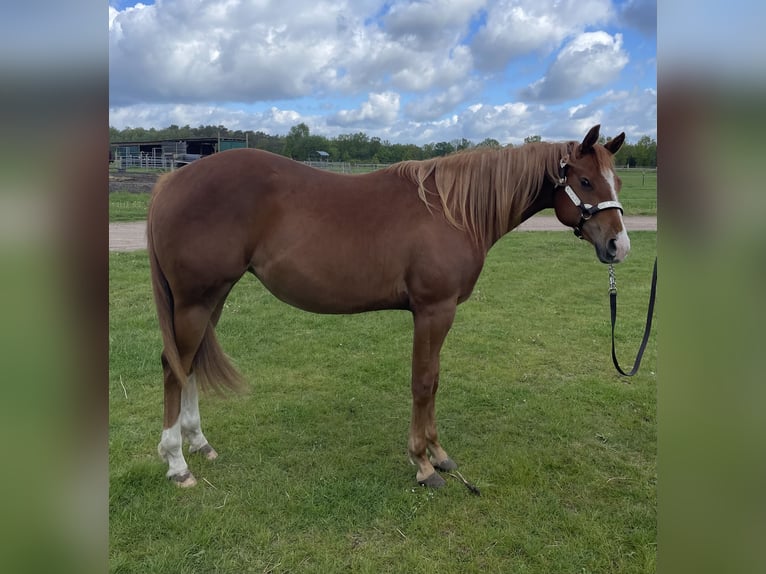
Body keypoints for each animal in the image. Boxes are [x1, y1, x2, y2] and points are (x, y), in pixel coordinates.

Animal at [148, 124, 628, 488]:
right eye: (585, 181)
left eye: (617, 181)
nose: (618, 246)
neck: (452, 211)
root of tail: (172, 180)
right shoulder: (434, 310)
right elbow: (424, 382)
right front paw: (424, 463)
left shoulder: (439, 313)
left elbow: (434, 380)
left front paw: (439, 454)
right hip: (194, 301)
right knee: (174, 367)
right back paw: (177, 463)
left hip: (212, 299)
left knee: (190, 365)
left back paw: (199, 443)